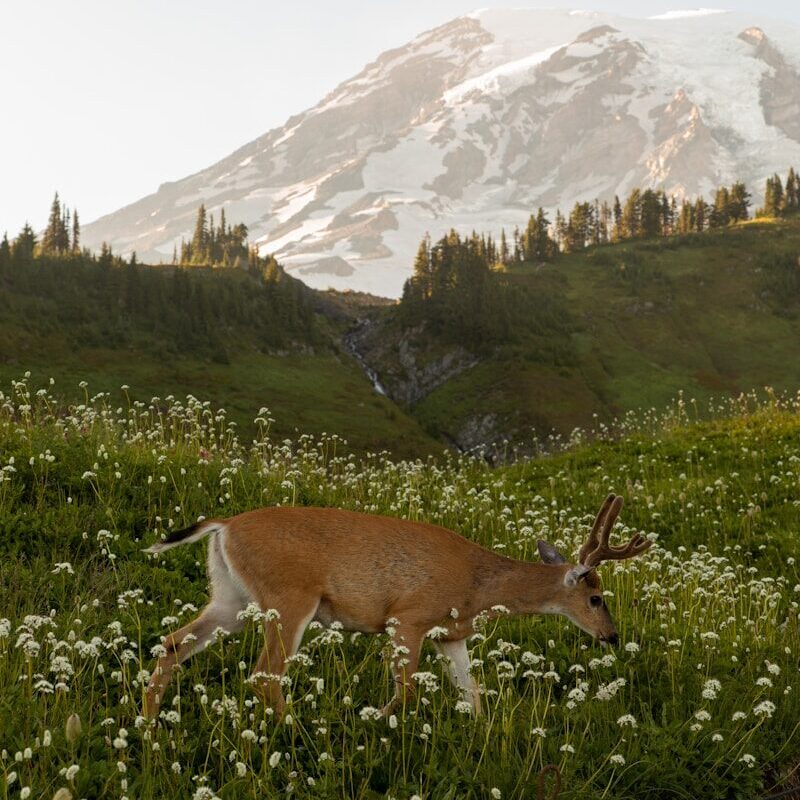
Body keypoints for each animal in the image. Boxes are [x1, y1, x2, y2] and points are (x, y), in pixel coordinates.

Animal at [142, 493, 650, 720]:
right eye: (596, 597)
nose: (612, 636)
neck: (478, 588)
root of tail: (223, 525)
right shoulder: (409, 618)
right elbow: (406, 692)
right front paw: (370, 723)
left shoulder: (452, 636)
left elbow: (473, 696)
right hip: (288, 599)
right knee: (265, 674)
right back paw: (293, 731)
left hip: (231, 598)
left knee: (171, 644)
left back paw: (148, 725)